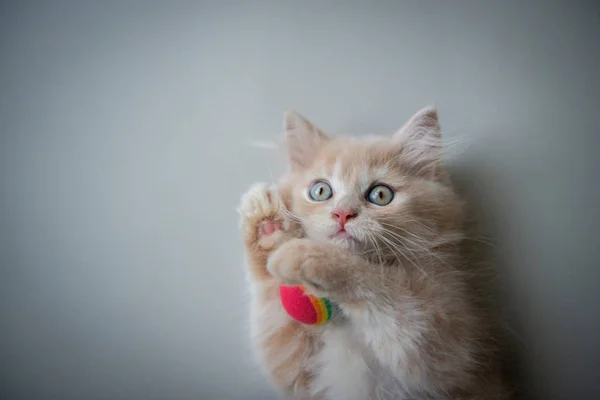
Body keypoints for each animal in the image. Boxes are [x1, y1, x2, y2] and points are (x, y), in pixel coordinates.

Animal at [239, 107, 510, 400]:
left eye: (380, 195)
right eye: (321, 190)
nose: (342, 214)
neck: (347, 318)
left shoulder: (447, 346)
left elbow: (383, 289)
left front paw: (303, 253)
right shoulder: (298, 374)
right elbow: (273, 318)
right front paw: (267, 224)